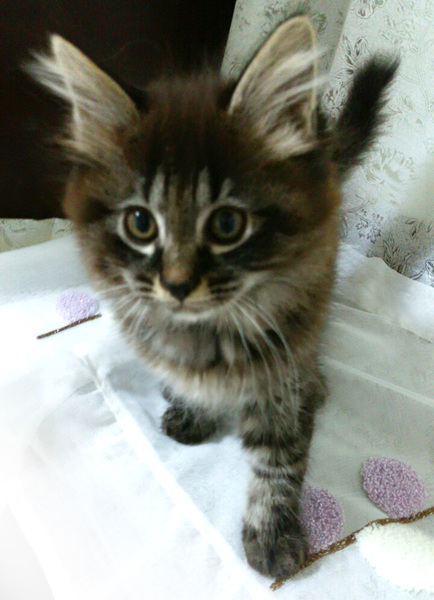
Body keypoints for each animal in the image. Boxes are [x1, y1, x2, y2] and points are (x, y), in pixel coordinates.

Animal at [28, 15, 397, 578]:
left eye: (227, 225)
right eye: (141, 224)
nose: (178, 285)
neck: (207, 328)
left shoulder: (283, 360)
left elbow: (278, 456)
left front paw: (272, 532)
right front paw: (193, 408)